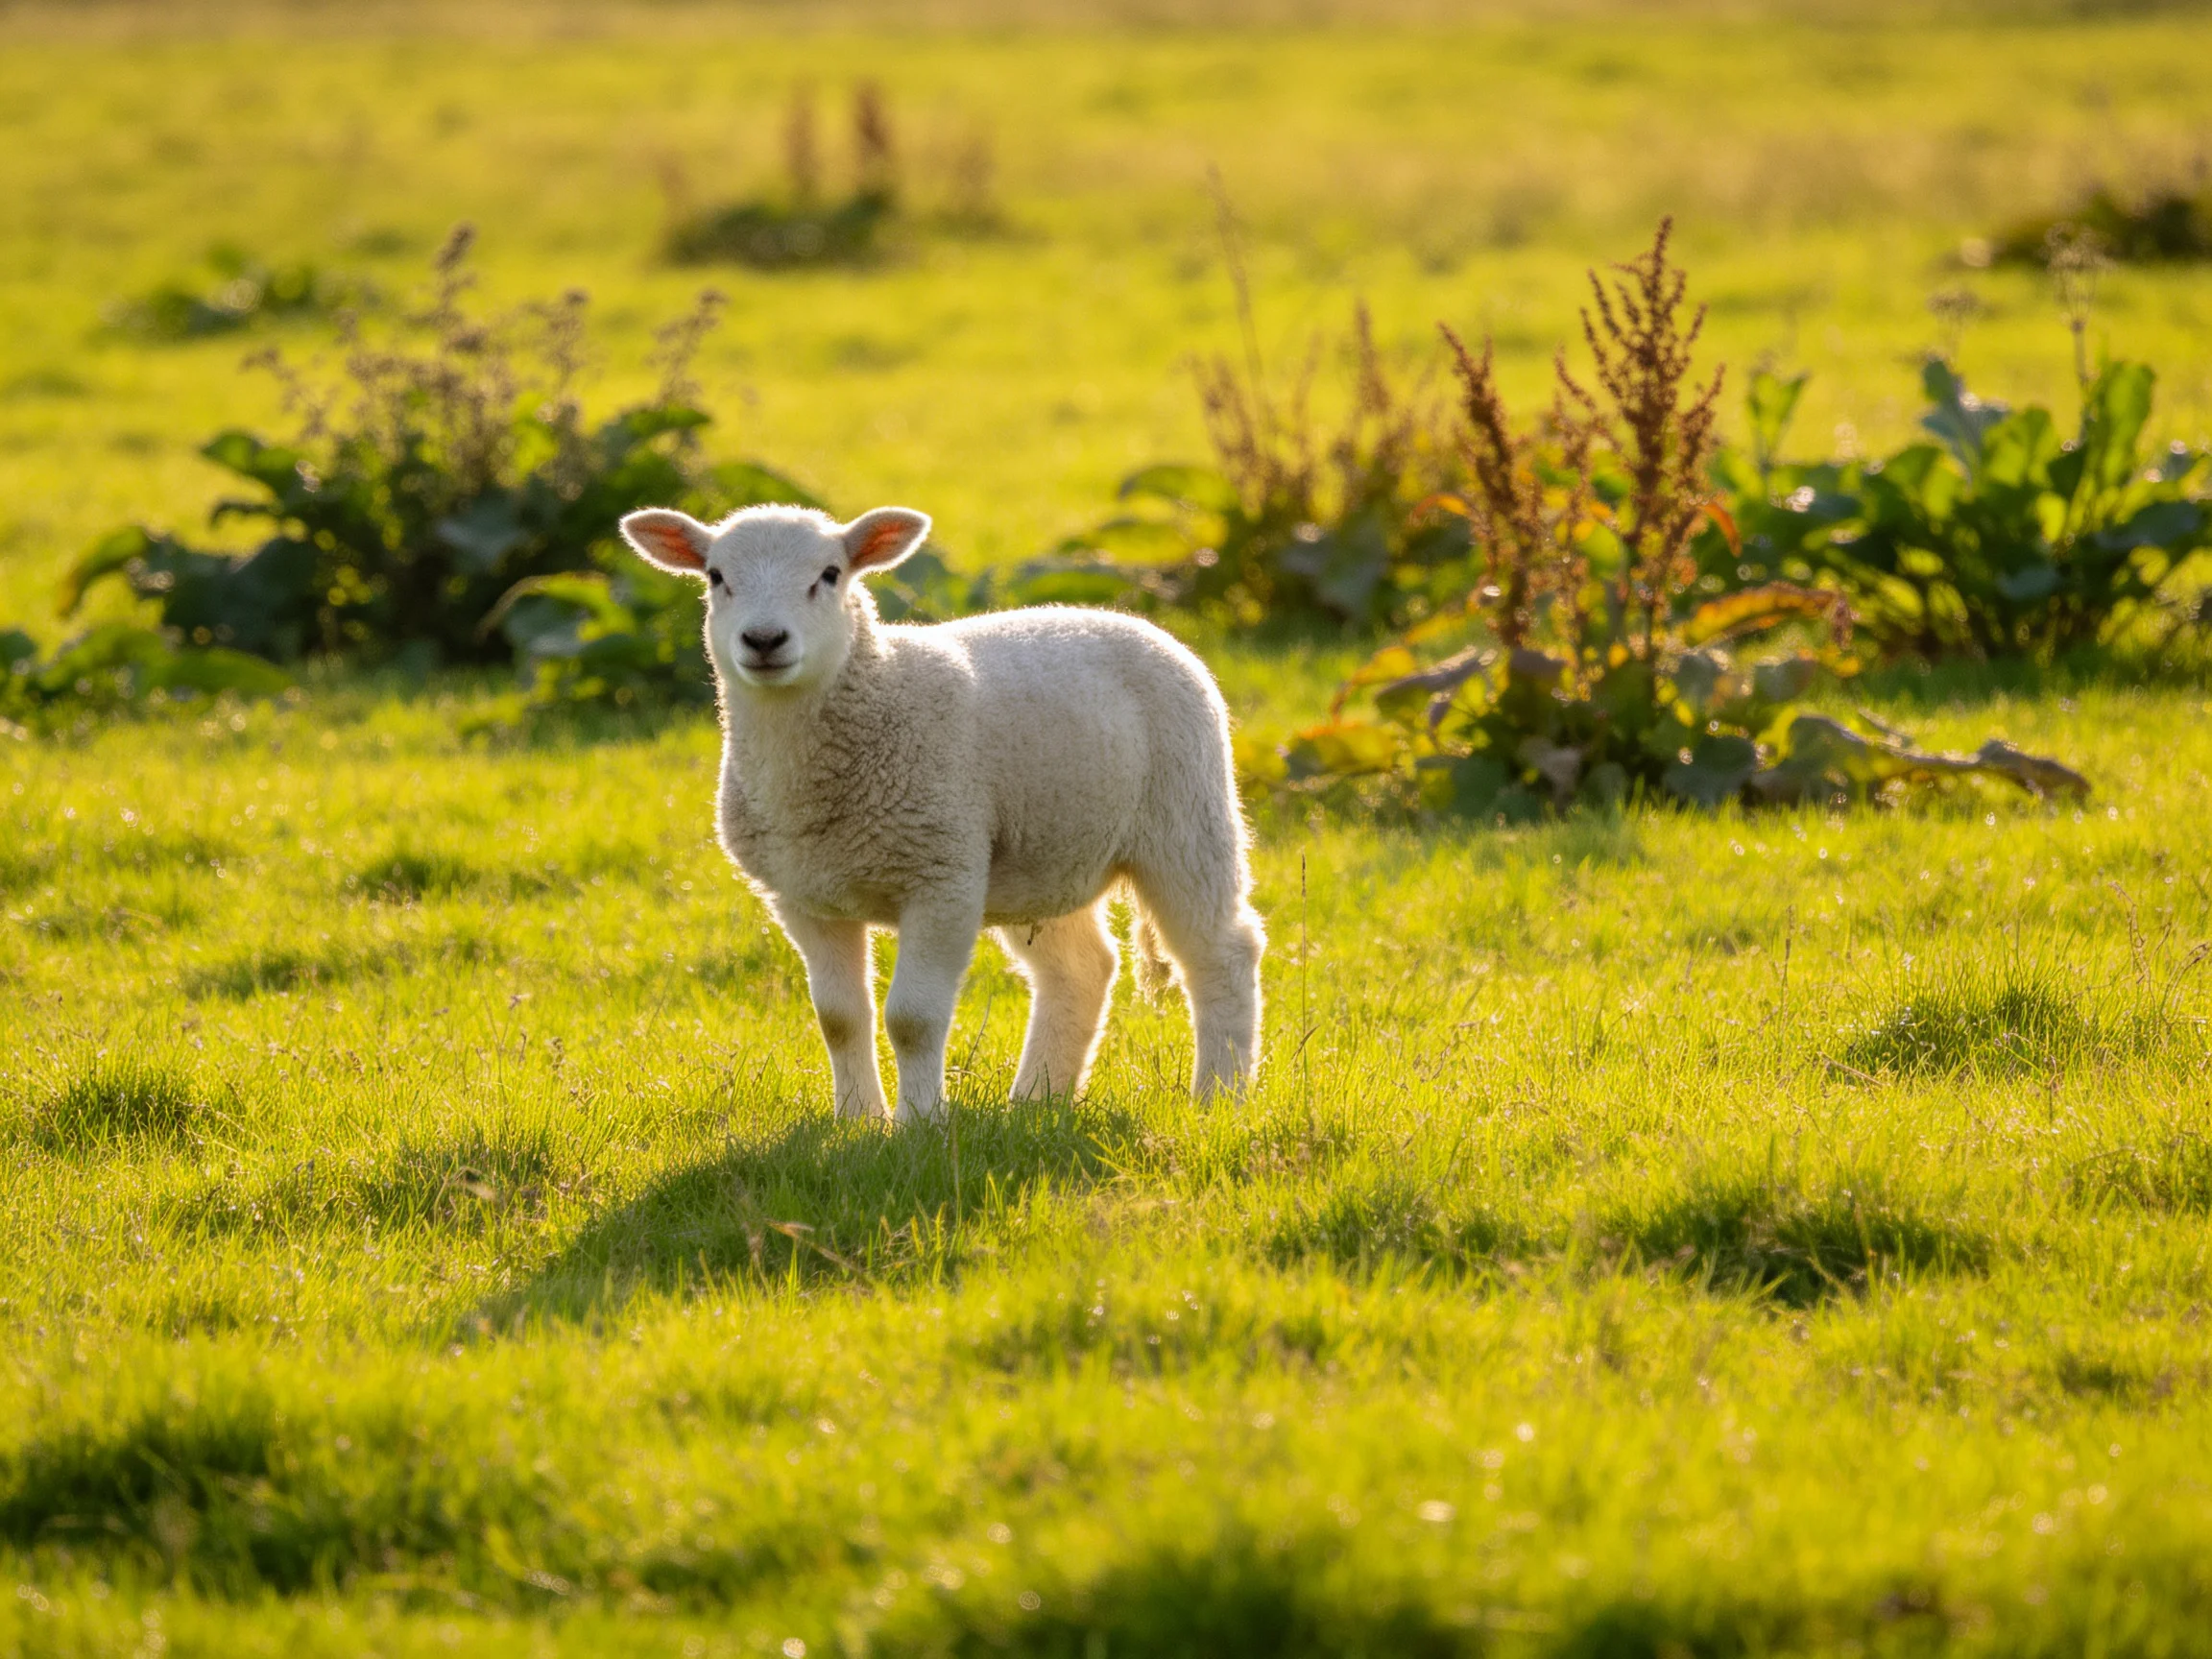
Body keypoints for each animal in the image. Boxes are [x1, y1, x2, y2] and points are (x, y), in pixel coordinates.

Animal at [619, 502, 1266, 1122]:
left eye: (830, 574)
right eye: (716, 576)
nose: (763, 640)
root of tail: (1132, 620)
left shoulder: (941, 878)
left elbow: (912, 1019)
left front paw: (919, 1123)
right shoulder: (804, 898)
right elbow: (839, 1018)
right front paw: (857, 1121)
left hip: (1186, 815)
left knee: (1221, 954)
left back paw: (1219, 1099)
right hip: (1043, 856)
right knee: (1082, 969)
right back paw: (1037, 1102)